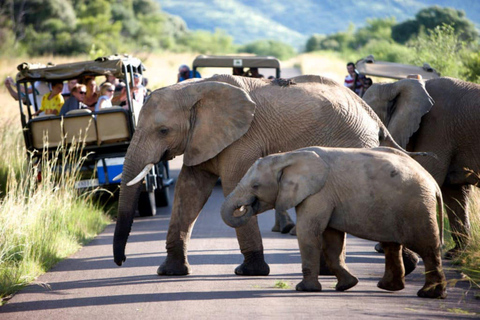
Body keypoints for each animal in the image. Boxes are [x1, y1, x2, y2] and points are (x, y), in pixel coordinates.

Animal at [112, 74, 404, 276]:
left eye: (163, 131)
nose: (121, 261)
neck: (196, 88)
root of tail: (372, 115)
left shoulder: (243, 139)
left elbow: (231, 185)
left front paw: (249, 272)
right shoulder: (200, 139)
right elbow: (189, 190)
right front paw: (170, 272)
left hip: (353, 143)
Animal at [221, 146, 446, 298]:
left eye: (256, 186)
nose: (245, 206)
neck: (287, 156)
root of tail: (433, 182)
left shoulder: (318, 193)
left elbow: (308, 232)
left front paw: (305, 290)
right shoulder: (326, 197)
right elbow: (331, 239)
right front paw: (346, 286)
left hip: (417, 206)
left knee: (427, 247)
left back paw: (429, 294)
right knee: (393, 245)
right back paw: (389, 287)